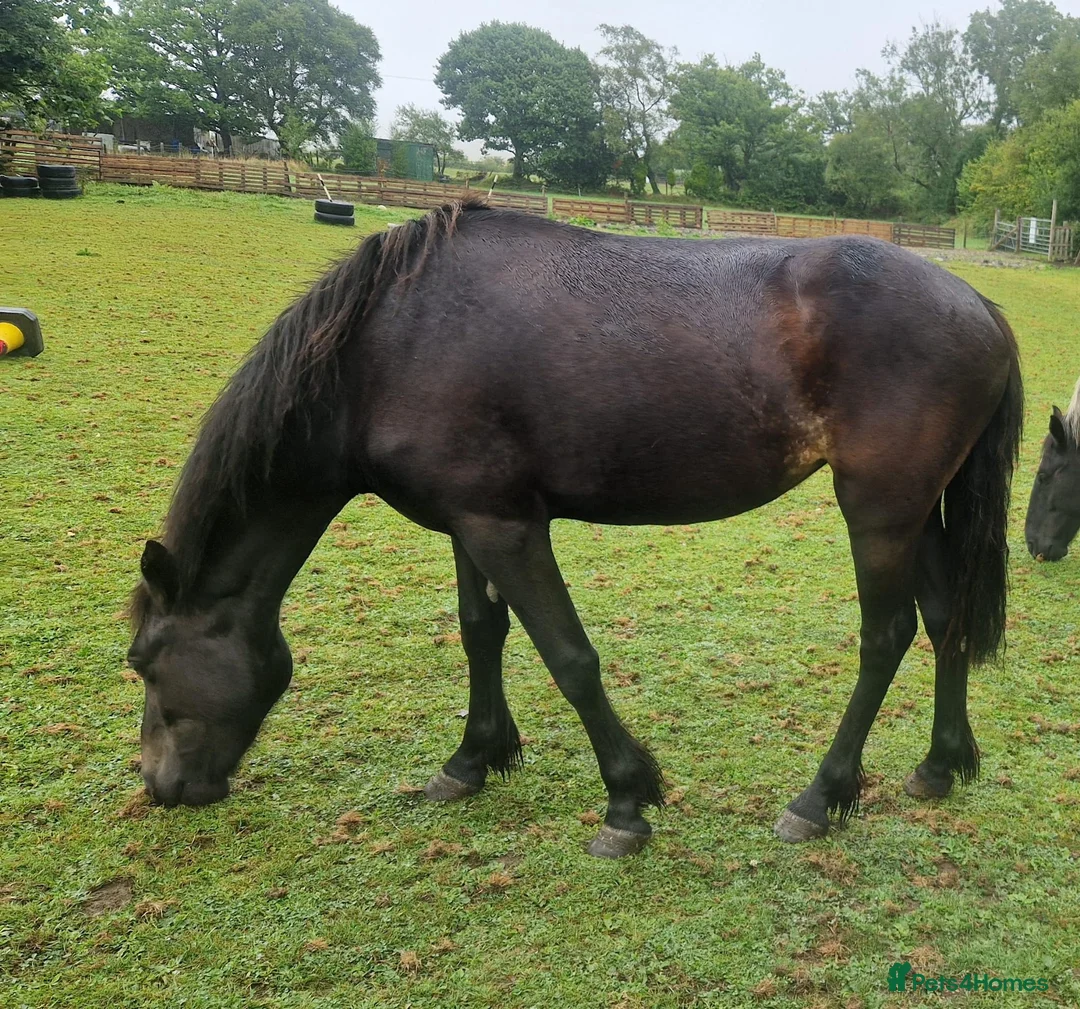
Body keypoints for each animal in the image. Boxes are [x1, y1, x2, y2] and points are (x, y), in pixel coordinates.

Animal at [128, 198, 1023, 858]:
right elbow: (480, 630)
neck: (391, 344)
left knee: (886, 635)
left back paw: (821, 795)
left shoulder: (508, 527)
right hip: (922, 510)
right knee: (945, 620)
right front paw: (472, 758)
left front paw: (625, 802)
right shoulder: (468, 520)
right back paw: (940, 765)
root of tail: (980, 304)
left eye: (142, 662)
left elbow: (570, 657)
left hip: (879, 510)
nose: (159, 786)